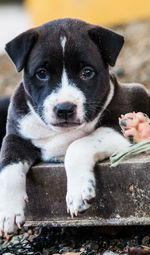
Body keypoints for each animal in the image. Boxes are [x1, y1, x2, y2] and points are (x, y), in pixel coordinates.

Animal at [0, 18, 149, 237]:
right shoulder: (15, 137)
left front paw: (78, 192)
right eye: (42, 74)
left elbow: (78, 145)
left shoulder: (116, 126)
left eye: (87, 72)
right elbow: (8, 168)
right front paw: (8, 212)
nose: (64, 109)